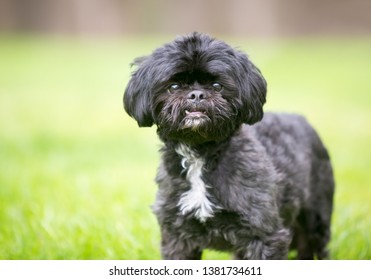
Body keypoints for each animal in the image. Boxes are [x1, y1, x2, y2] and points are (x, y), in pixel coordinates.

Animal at [123, 32, 336, 260]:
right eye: (174, 87)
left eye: (217, 86)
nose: (196, 94)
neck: (200, 155)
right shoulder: (177, 235)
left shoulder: (263, 234)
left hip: (316, 216)